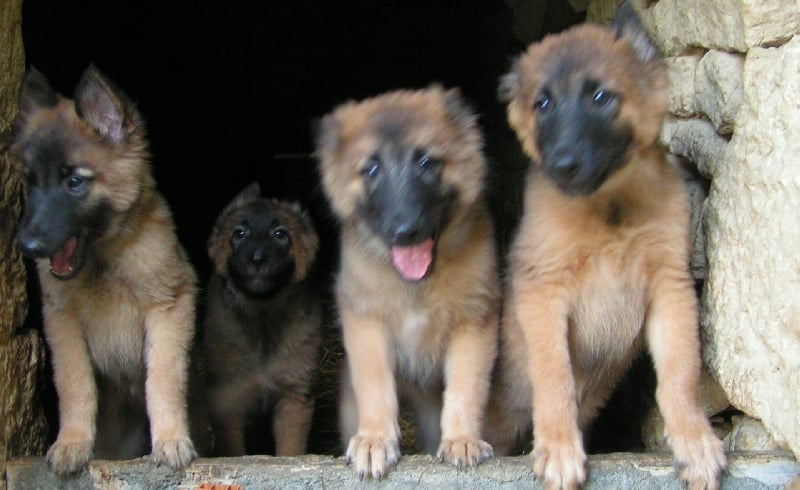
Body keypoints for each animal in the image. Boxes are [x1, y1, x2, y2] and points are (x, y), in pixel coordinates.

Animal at [203, 183, 322, 456]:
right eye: (240, 233)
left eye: (279, 234)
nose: (256, 259)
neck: (262, 316)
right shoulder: (228, 398)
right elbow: (234, 451)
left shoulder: (294, 396)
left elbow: (290, 450)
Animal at [314, 86, 496, 480]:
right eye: (371, 169)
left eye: (426, 162)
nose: (405, 231)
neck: (414, 286)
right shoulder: (365, 323)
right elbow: (376, 384)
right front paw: (375, 439)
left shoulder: (475, 324)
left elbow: (466, 386)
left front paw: (462, 438)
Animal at [484, 2, 728, 486]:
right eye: (543, 104)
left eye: (600, 97)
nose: (563, 164)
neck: (609, 209)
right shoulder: (544, 293)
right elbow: (554, 375)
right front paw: (559, 447)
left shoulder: (671, 289)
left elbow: (680, 373)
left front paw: (694, 439)